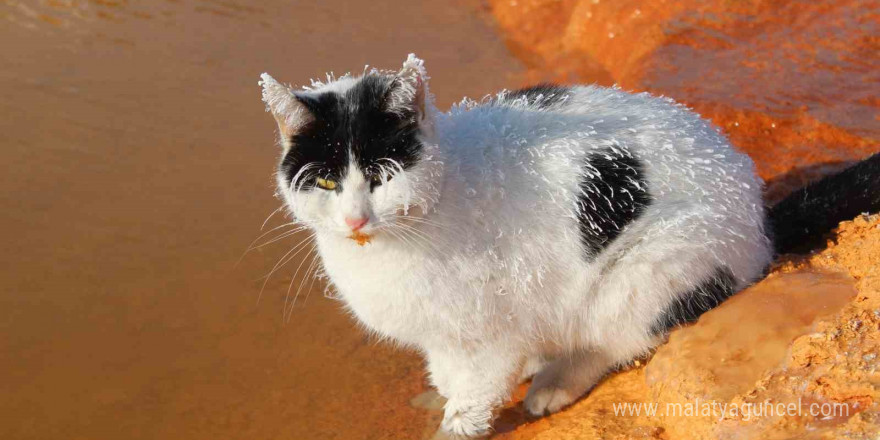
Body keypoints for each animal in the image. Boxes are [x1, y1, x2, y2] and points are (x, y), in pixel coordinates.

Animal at [258, 54, 880, 436]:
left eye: (382, 177)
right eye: (326, 183)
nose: (355, 219)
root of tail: (757, 211)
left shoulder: (492, 330)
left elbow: (477, 389)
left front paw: (459, 421)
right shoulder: (442, 335)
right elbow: (446, 371)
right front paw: (441, 394)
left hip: (648, 270)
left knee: (615, 340)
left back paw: (553, 384)